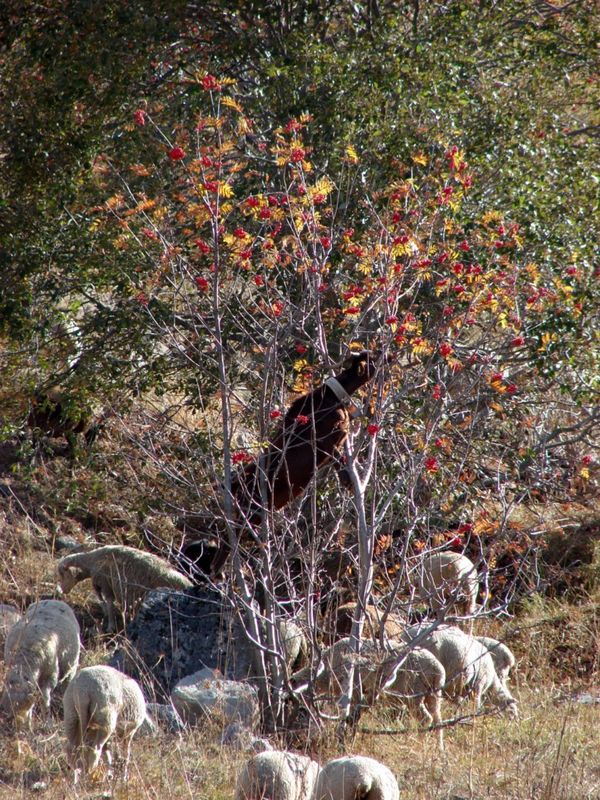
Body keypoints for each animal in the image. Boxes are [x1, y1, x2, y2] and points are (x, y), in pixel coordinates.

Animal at [0, 596, 81, 736]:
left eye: (21, 706)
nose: (17, 730)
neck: (24, 659)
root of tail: (54, 600)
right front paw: (29, 726)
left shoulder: (49, 676)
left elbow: (45, 699)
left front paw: (47, 724)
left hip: (71, 667)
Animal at [56, 544, 192, 632]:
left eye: (63, 575)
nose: (63, 591)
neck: (91, 561)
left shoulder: (105, 583)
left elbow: (108, 602)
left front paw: (110, 626)